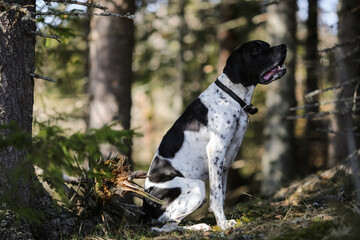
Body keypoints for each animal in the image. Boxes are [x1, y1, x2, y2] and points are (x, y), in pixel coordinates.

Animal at [143, 40, 286, 232]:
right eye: (256, 49)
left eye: (267, 45)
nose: (284, 47)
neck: (231, 95)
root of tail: (144, 209)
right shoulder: (216, 150)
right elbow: (217, 196)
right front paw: (223, 225)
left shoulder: (225, 161)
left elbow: (222, 194)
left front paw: (222, 221)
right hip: (196, 186)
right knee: (166, 226)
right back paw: (199, 227)